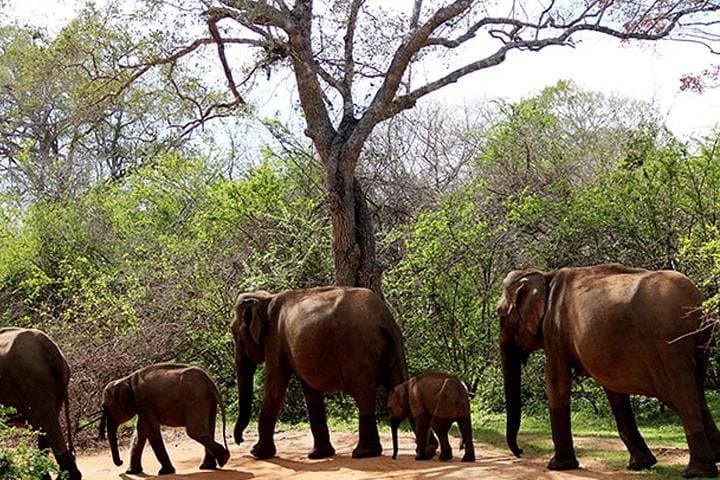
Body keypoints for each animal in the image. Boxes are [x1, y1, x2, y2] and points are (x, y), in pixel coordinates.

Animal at [99, 363, 229, 476]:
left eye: (105, 408)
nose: (121, 462)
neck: (126, 379)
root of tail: (211, 383)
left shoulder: (143, 401)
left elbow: (151, 430)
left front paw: (165, 472)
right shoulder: (142, 405)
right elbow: (140, 432)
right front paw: (131, 472)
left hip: (195, 399)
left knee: (194, 431)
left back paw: (223, 459)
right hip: (207, 400)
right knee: (208, 428)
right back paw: (209, 466)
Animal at [232, 286, 408, 460]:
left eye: (235, 333)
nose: (240, 441)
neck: (266, 298)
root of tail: (385, 318)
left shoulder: (275, 339)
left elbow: (275, 388)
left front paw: (257, 453)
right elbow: (311, 392)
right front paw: (318, 454)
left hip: (360, 349)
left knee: (363, 395)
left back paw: (363, 454)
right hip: (388, 350)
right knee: (396, 388)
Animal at [497, 263, 720, 478]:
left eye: (500, 313)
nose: (520, 452)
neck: (545, 276)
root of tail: (695, 302)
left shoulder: (555, 330)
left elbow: (555, 383)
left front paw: (557, 466)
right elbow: (614, 391)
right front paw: (641, 465)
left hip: (668, 345)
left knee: (682, 398)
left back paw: (696, 473)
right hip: (697, 343)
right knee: (697, 393)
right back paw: (713, 461)